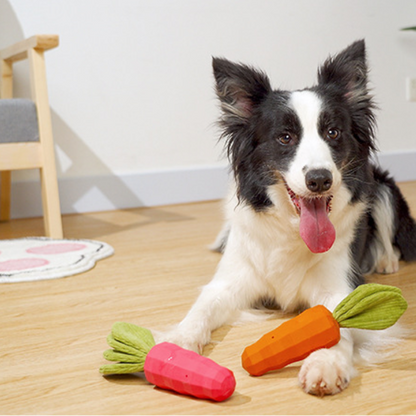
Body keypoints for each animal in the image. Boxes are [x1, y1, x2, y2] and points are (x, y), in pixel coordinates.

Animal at [161, 40, 416, 394]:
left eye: (333, 132)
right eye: (285, 137)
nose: (320, 179)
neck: (292, 230)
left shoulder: (339, 285)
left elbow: (338, 323)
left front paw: (325, 364)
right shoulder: (230, 281)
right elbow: (201, 308)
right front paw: (177, 343)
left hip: (383, 188)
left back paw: (385, 260)